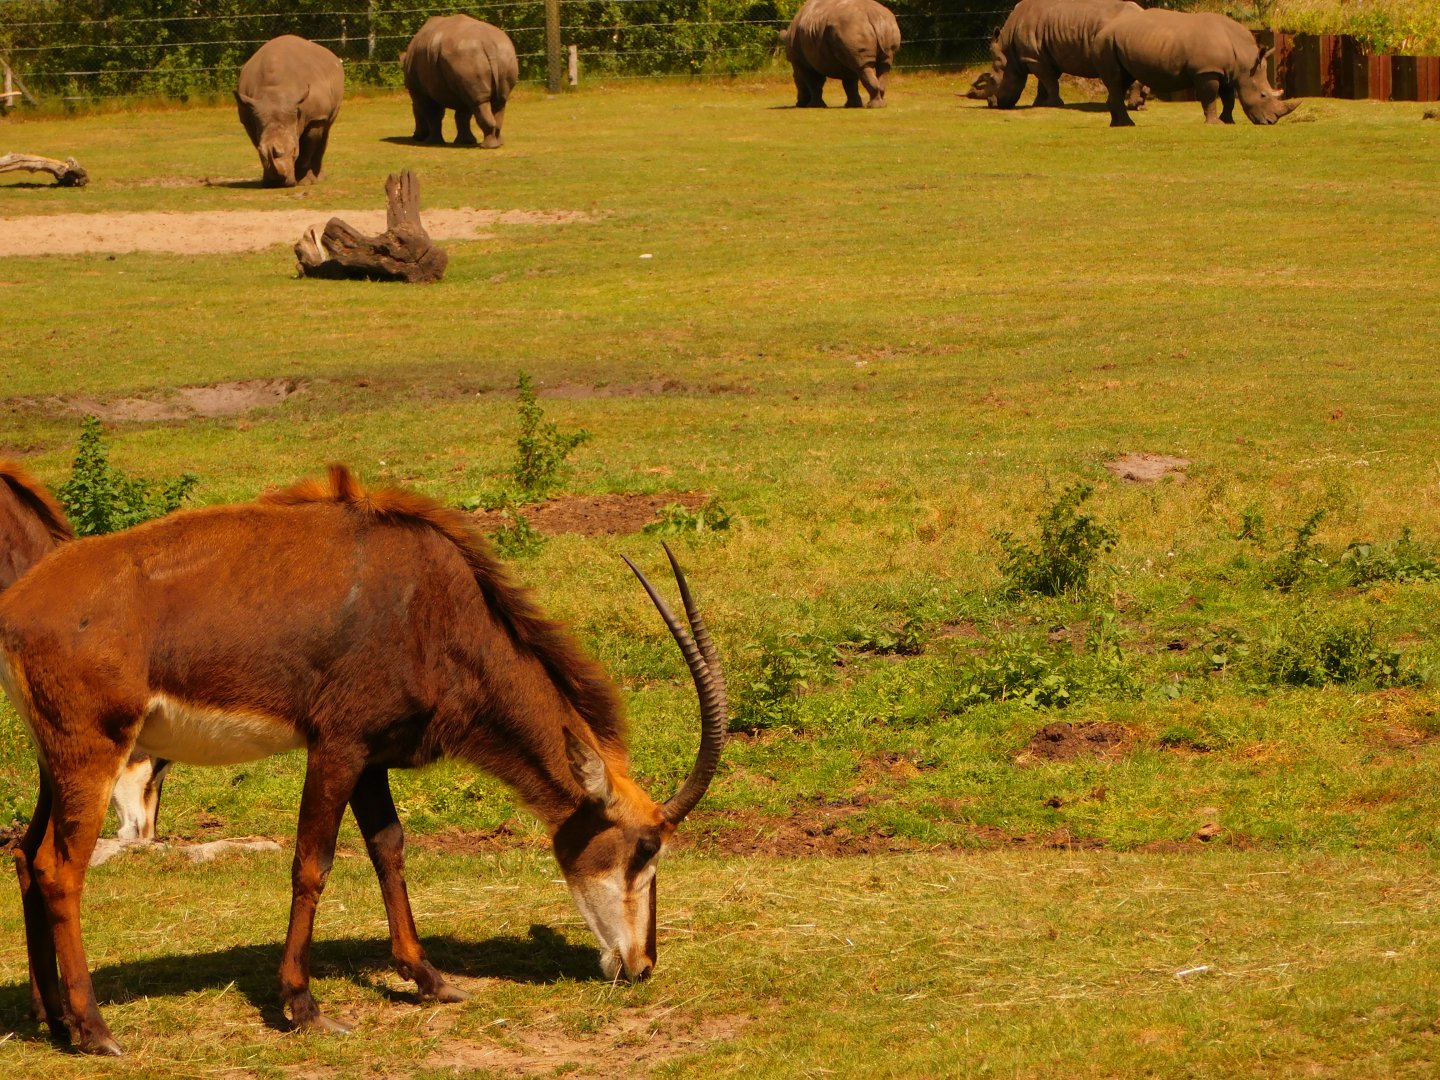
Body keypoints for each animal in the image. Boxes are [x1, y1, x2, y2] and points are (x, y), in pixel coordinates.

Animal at [235, 35, 344, 188]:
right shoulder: (250, 115)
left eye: (294, 150)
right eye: (261, 151)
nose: (277, 182)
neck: (275, 94)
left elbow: (306, 151)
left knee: (326, 128)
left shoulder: (314, 118)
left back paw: (319, 178)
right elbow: (257, 142)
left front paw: (304, 182)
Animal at [401, 15, 518, 148]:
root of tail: (488, 44)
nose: (415, 136)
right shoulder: (460, 85)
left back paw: (487, 146)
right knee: (498, 101)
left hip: (467, 56)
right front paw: (465, 142)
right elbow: (462, 116)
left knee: (480, 102)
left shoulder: (420, 91)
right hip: (500, 53)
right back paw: (497, 143)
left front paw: (431, 142)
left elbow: (432, 115)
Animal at [969, 0, 1147, 110]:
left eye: (993, 80)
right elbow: (1044, 82)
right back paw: (1139, 105)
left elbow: (1048, 81)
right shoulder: (1044, 57)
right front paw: (1038, 104)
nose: (992, 104)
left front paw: (1053, 104)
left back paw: (1132, 106)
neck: (1008, 50)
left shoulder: (1033, 58)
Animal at [1093, 8, 1298, 126]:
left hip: (1117, 42)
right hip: (1106, 42)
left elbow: (1229, 98)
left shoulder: (1227, 73)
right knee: (1116, 80)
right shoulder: (1207, 71)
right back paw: (1127, 124)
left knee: (1123, 80)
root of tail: (1102, 30)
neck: (1245, 61)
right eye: (1263, 95)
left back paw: (1117, 124)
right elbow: (1210, 97)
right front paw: (1215, 124)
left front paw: (1228, 122)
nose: (1271, 122)